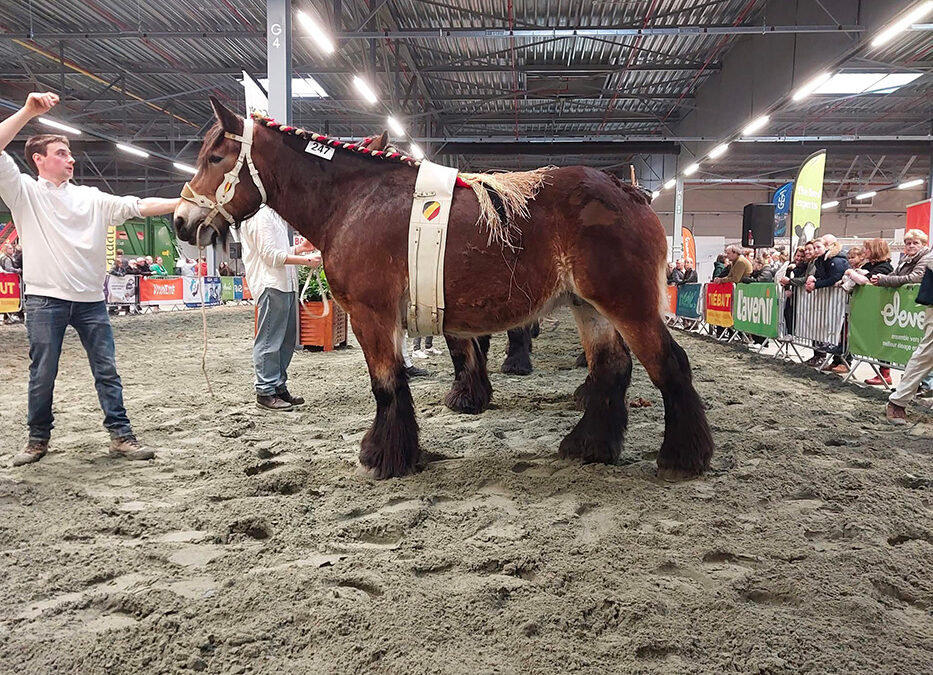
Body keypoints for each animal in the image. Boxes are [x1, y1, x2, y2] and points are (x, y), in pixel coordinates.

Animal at [173, 98, 715, 481]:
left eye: (216, 157)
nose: (180, 221)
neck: (354, 200)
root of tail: (627, 191)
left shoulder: (372, 315)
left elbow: (387, 384)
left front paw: (383, 456)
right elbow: (418, 373)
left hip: (628, 306)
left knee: (668, 366)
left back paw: (681, 456)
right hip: (590, 307)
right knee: (611, 369)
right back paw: (589, 445)